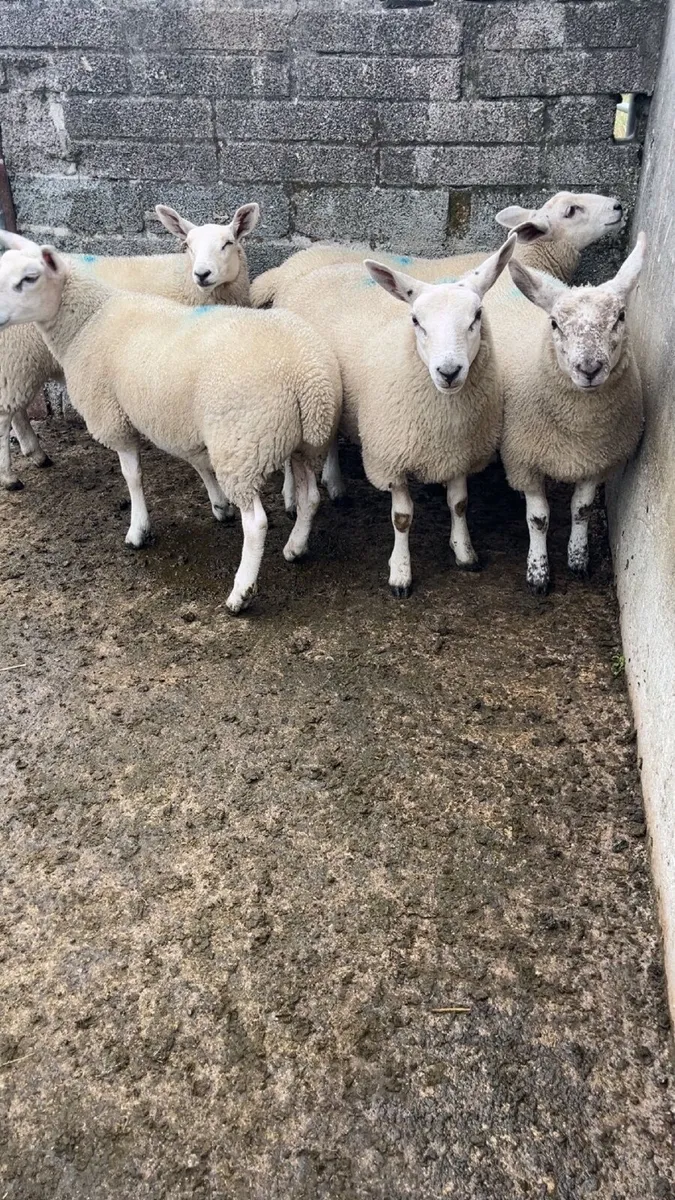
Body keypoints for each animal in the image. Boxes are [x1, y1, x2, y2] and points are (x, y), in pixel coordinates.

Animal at [0, 202, 259, 490]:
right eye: (187, 245)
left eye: (228, 242)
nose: (202, 274)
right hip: (15, 357)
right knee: (4, 416)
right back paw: (10, 476)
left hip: (18, 363)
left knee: (17, 411)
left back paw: (36, 453)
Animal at [0, 232, 340, 614]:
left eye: (30, 278)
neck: (88, 321)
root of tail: (309, 375)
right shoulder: (183, 420)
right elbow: (199, 464)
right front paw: (218, 505)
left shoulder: (113, 416)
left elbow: (132, 476)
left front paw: (138, 530)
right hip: (302, 441)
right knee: (310, 497)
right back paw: (295, 548)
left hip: (242, 444)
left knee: (257, 523)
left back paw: (240, 593)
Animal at [267, 233, 516, 596]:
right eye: (416, 321)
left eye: (478, 315)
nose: (449, 372)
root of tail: (318, 271)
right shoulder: (390, 459)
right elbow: (402, 518)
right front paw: (400, 573)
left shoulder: (460, 452)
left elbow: (459, 503)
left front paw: (464, 552)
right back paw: (290, 495)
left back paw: (336, 484)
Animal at [500, 234, 645, 594]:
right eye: (554, 323)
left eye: (621, 317)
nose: (589, 369)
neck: (579, 431)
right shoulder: (524, 461)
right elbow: (538, 519)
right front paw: (538, 572)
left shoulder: (597, 460)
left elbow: (582, 509)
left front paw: (578, 559)